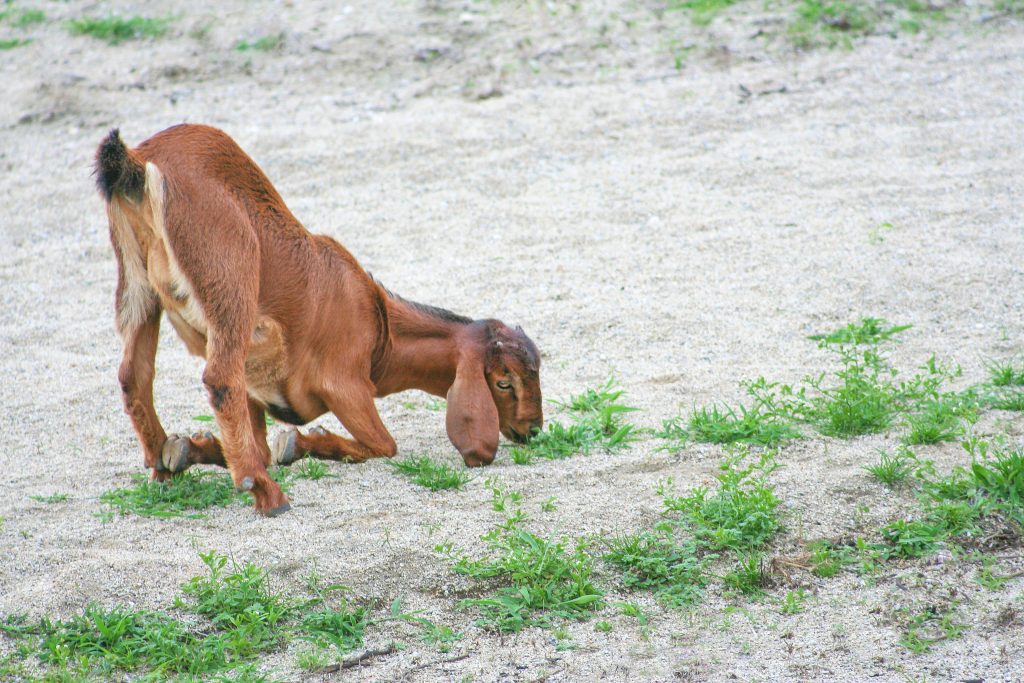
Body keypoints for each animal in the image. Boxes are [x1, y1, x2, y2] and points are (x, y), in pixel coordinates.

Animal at [95, 124, 543, 516]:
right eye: (503, 382)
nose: (534, 429)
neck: (380, 330)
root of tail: (139, 162)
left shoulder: (258, 386)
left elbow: (256, 442)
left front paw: (191, 449)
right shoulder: (346, 384)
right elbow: (384, 445)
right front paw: (295, 445)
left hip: (137, 285)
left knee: (134, 374)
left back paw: (161, 466)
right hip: (230, 280)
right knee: (220, 379)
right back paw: (266, 493)